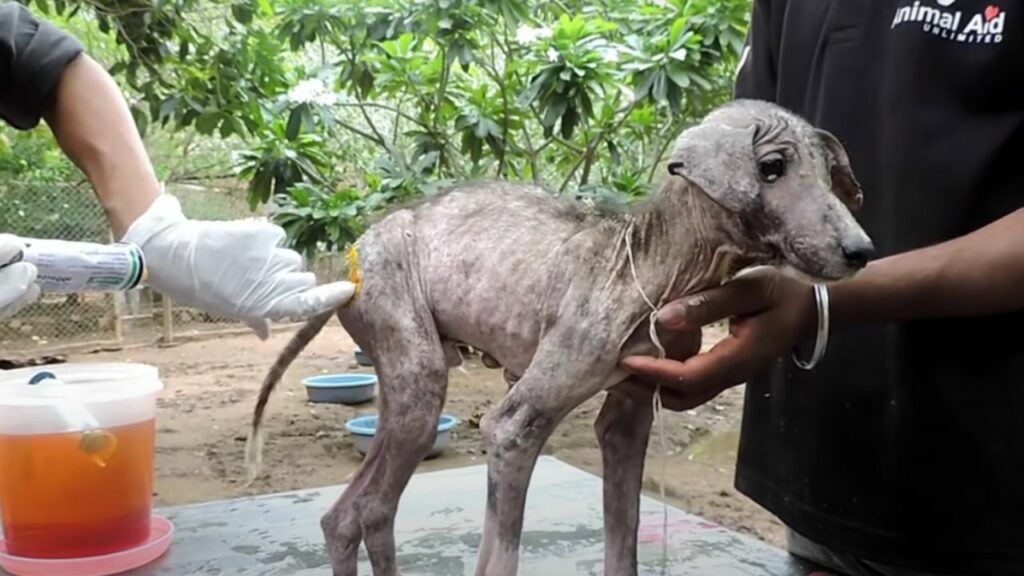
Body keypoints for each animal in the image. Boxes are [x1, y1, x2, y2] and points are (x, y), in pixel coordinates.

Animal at [245, 99, 872, 573]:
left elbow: (625, 539)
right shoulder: (513, 428)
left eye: (830, 175)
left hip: (403, 393)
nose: (861, 251)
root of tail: (354, 258)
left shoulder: (629, 417)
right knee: (371, 507)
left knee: (347, 515)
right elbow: (499, 556)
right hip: (415, 366)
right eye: (772, 167)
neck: (647, 262)